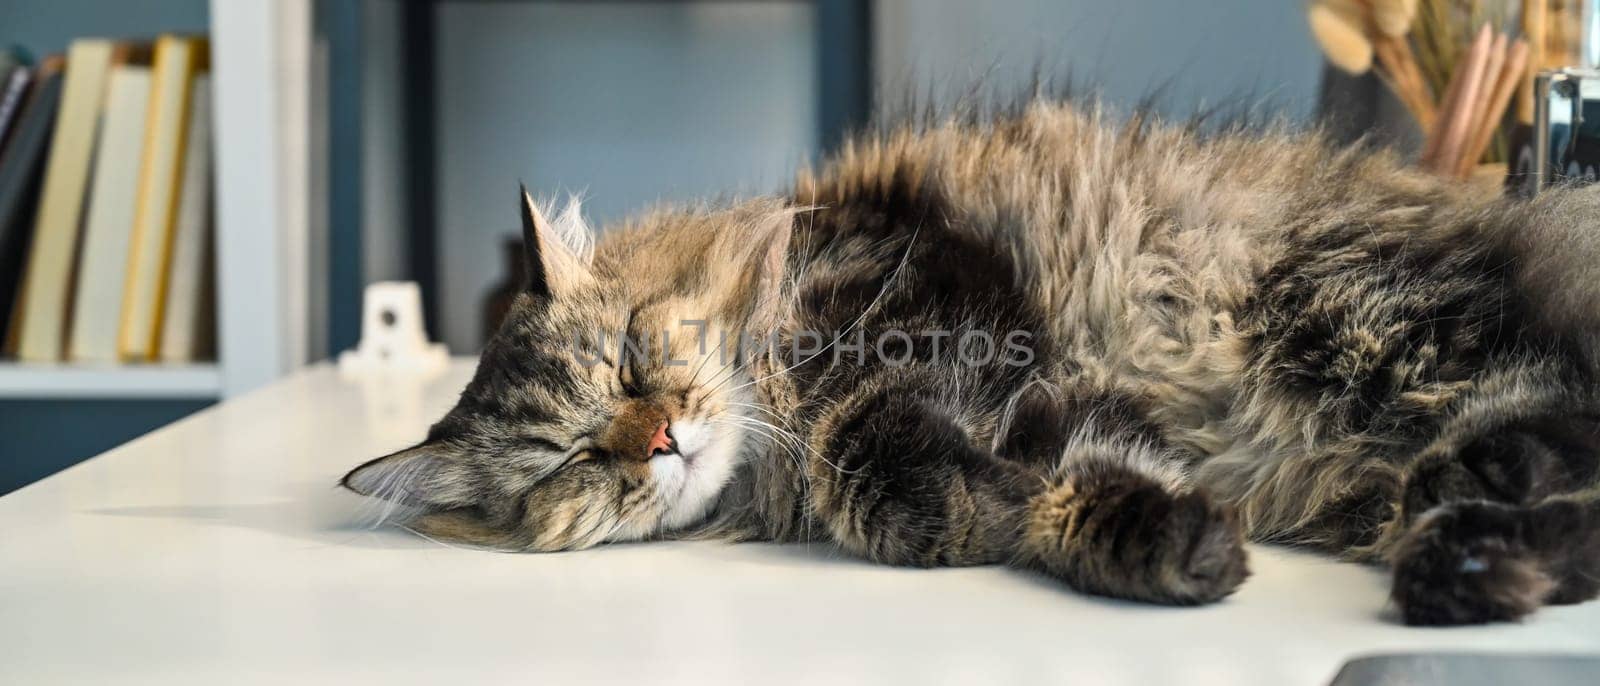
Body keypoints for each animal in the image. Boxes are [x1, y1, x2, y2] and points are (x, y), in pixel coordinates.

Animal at [340, 97, 1600, 626]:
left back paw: (1478, 514)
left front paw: (954, 501)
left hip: (1346, 321)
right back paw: (1480, 567)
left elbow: (866, 443)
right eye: (572, 459)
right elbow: (1079, 483)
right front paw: (1166, 547)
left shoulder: (942, 305)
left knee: (1546, 401)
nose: (659, 440)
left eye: (635, 359)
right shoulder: (1062, 401)